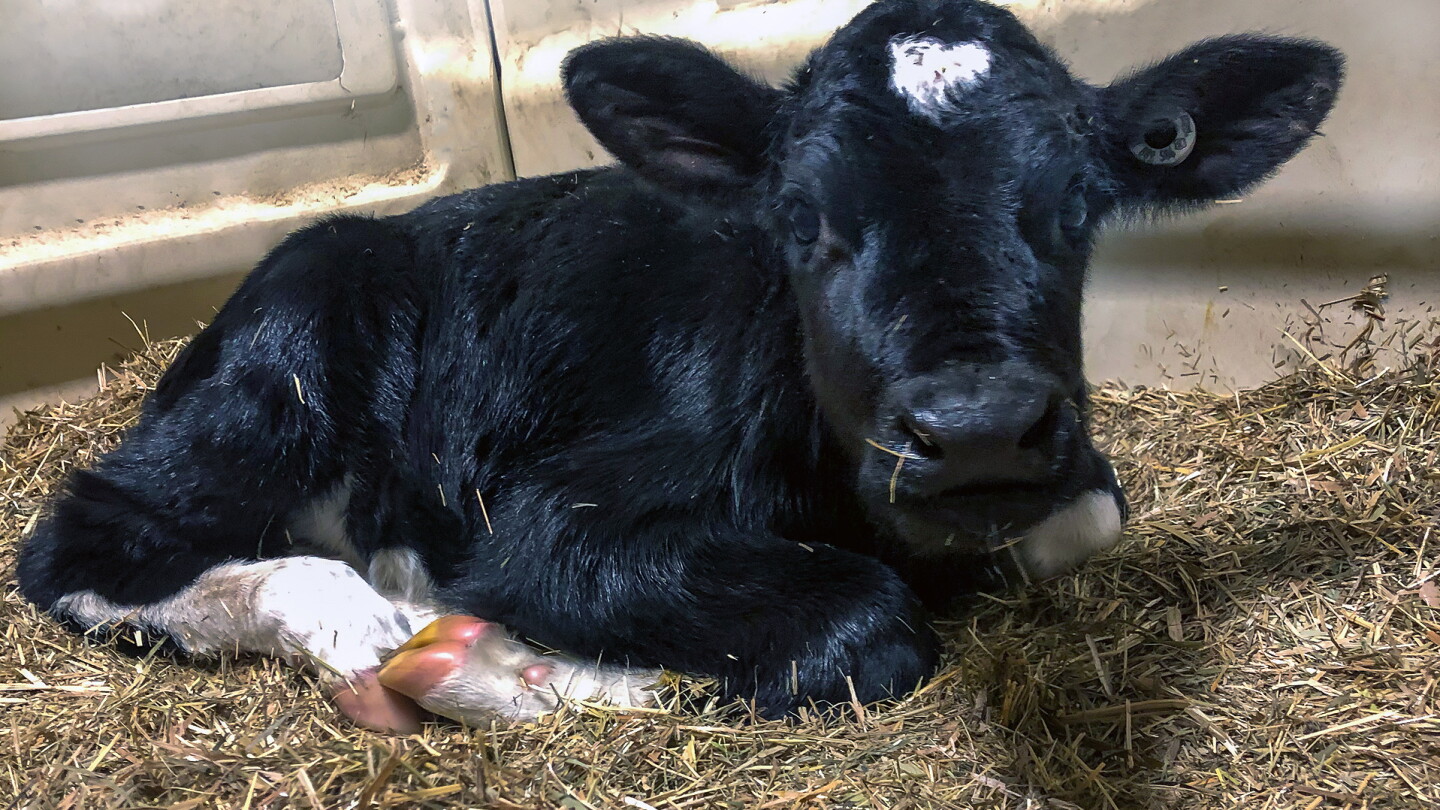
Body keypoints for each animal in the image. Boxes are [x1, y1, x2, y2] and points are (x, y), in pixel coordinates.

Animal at [17, 0, 1341, 733]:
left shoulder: (1067, 476)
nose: (975, 428)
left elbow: (1083, 520)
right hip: (284, 367)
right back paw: (403, 634)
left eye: (1076, 209)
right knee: (90, 542)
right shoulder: (553, 515)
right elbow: (865, 623)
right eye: (802, 218)